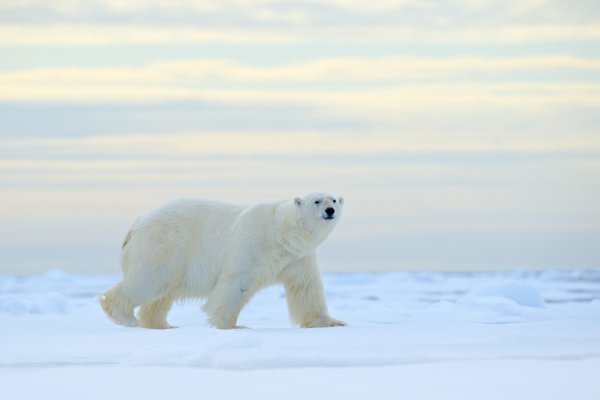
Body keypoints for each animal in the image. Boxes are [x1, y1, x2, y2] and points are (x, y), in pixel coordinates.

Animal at [100, 193, 344, 328]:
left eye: (334, 199)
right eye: (316, 201)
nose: (330, 210)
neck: (280, 231)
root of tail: (137, 223)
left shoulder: (297, 257)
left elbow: (306, 287)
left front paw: (331, 322)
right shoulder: (252, 244)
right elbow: (237, 282)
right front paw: (231, 325)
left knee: (161, 295)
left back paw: (162, 325)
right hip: (164, 245)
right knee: (148, 280)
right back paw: (124, 316)